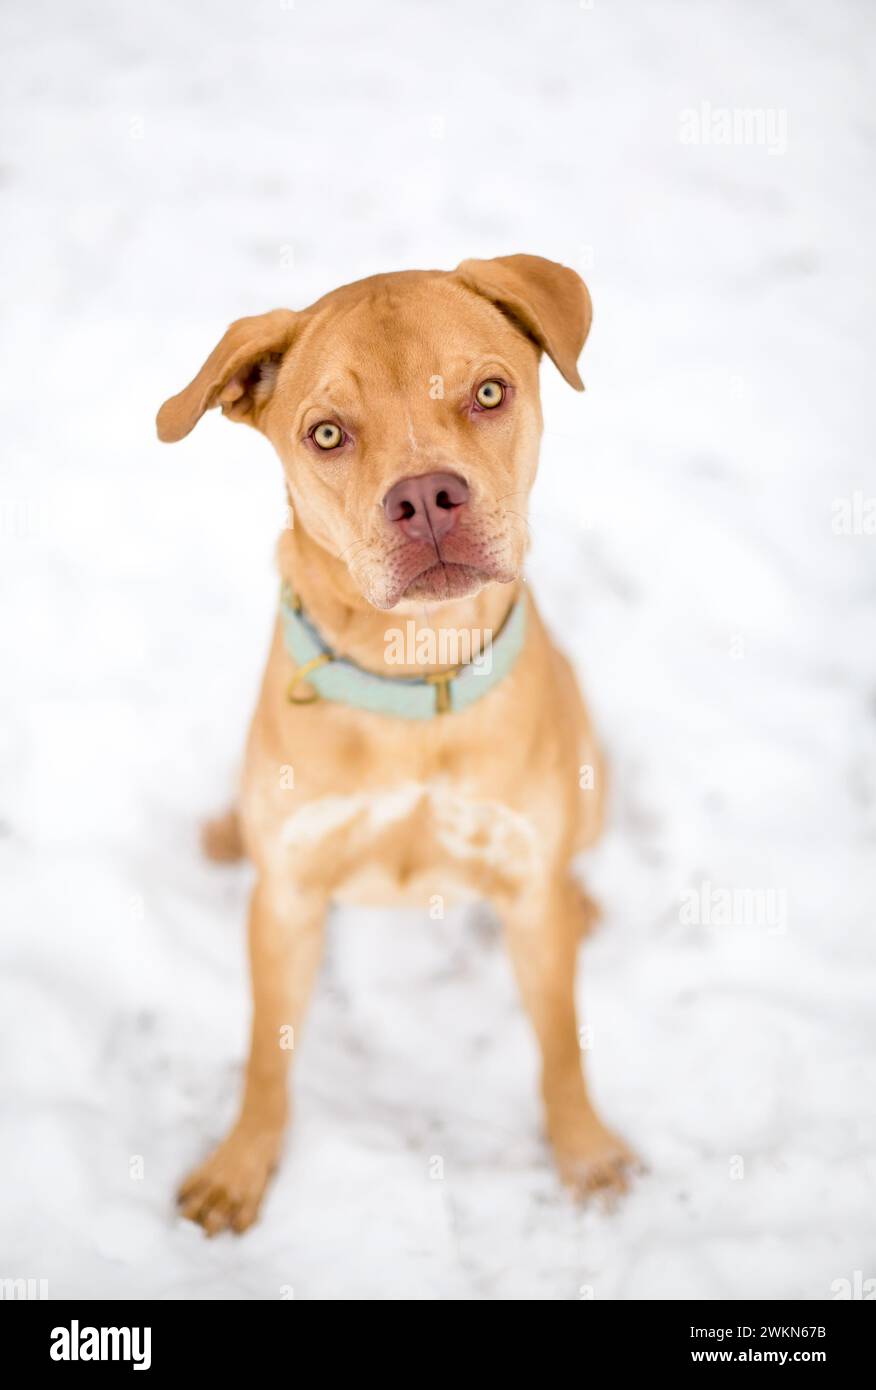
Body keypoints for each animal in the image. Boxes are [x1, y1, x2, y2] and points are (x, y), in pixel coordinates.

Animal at [159, 255, 639, 1234]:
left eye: (489, 392)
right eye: (327, 433)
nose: (424, 498)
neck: (412, 674)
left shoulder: (526, 895)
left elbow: (561, 1044)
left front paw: (584, 1151)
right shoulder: (288, 898)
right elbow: (266, 1054)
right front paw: (240, 1166)